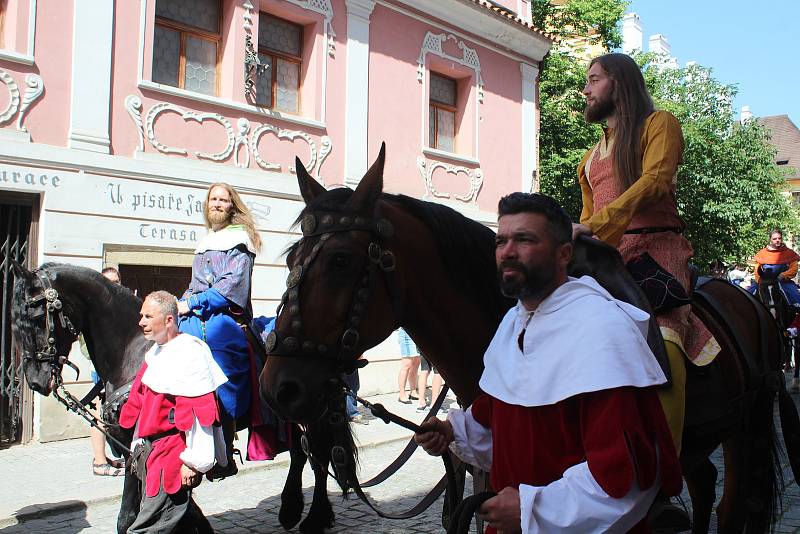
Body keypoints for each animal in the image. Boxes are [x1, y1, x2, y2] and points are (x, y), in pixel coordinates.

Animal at [9, 262, 358, 534]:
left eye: (36, 316)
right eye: (14, 322)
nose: (36, 380)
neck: (134, 350)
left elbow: (131, 515)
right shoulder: (131, 442)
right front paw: (195, 521)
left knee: (320, 456)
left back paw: (314, 518)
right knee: (301, 454)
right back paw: (290, 509)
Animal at [262, 144, 800, 532]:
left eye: (341, 261)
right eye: (289, 259)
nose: (277, 387)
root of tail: (748, 299)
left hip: (746, 427)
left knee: (734, 505)